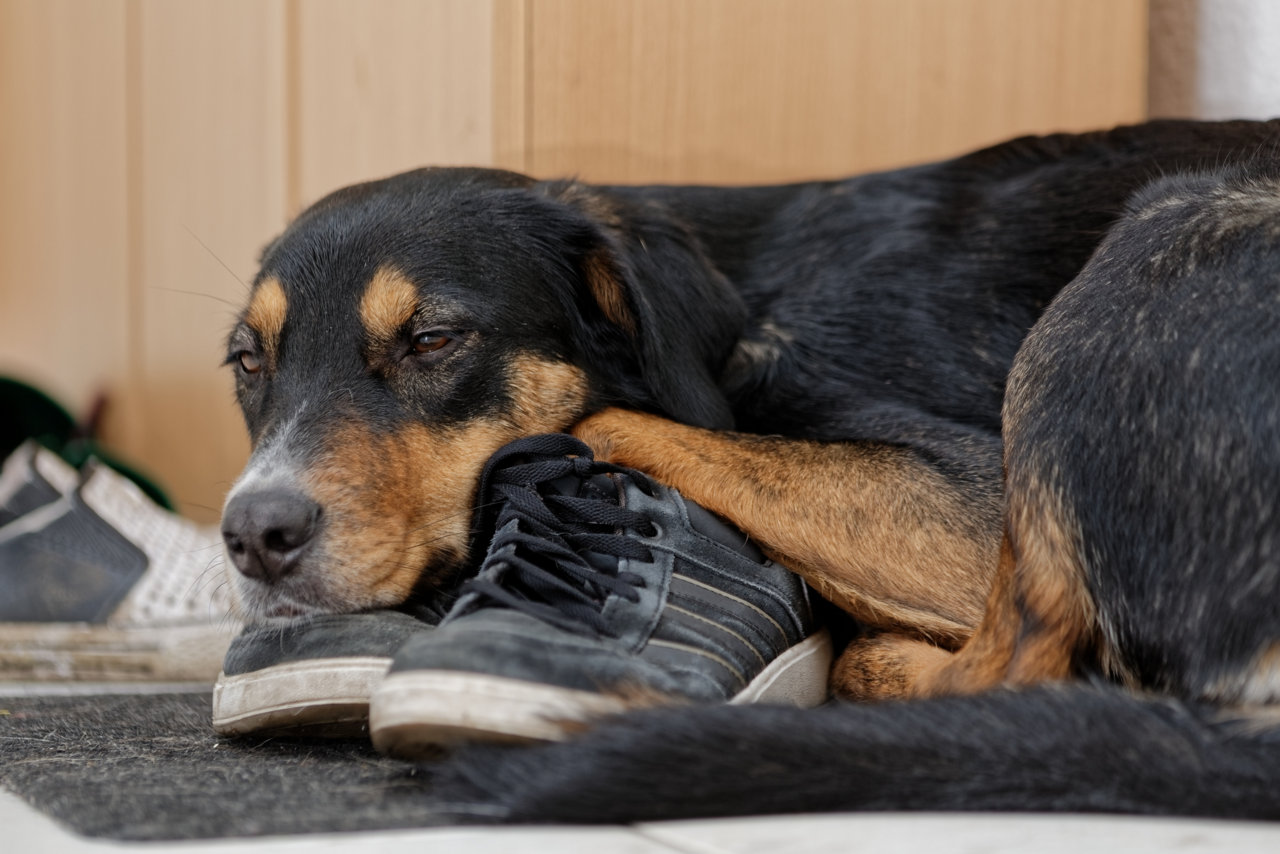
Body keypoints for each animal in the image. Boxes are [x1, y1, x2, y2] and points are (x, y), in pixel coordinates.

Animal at [222, 121, 1280, 819]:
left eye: (434, 339)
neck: (738, 299)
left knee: (1018, 667)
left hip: (1165, 228)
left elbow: (607, 415)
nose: (253, 535)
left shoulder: (976, 497)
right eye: (246, 362)